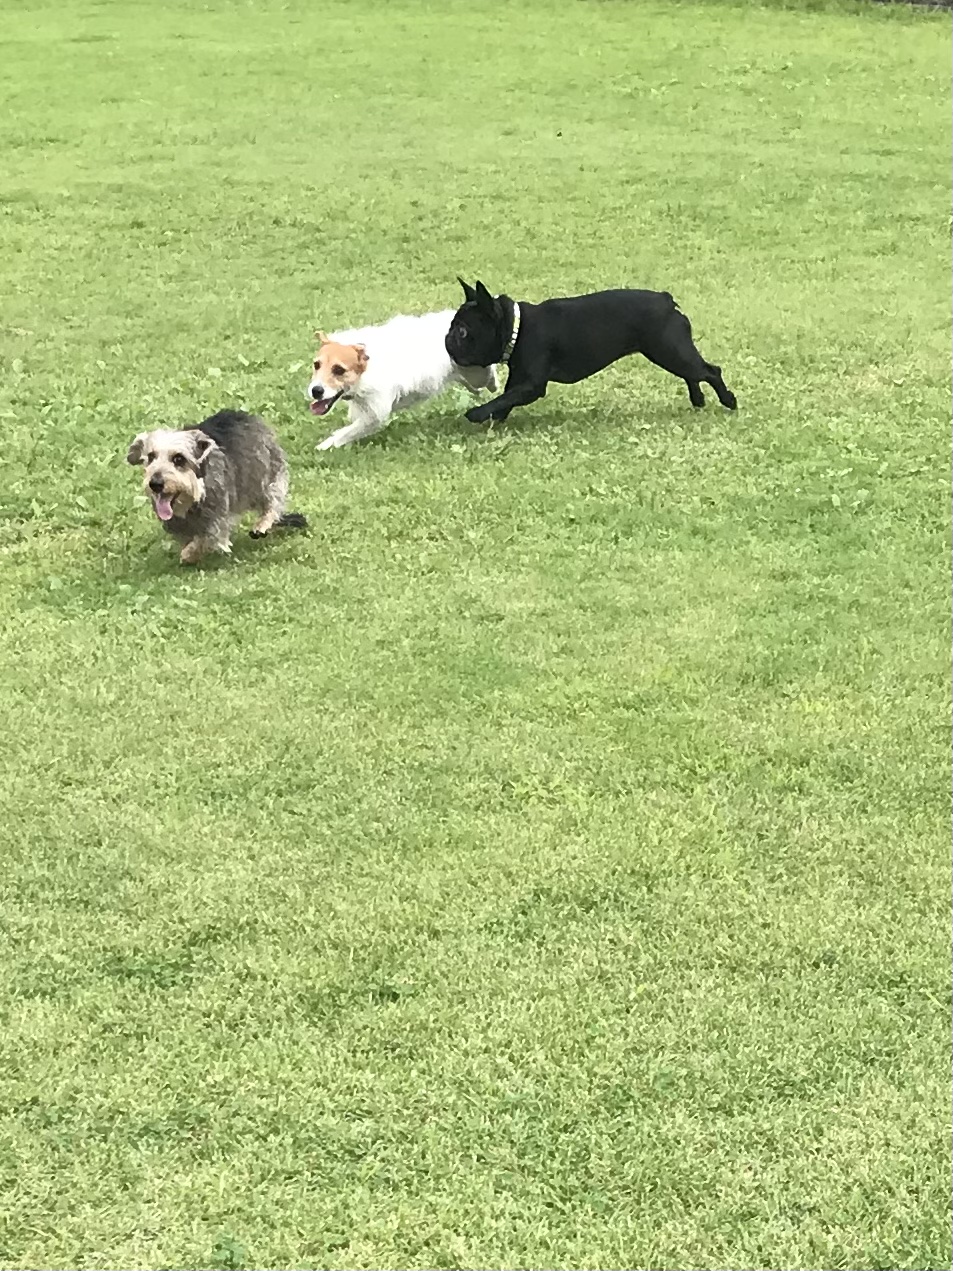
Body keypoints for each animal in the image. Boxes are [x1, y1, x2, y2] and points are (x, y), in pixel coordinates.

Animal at [126, 409, 306, 564]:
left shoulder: (217, 521)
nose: (155, 484)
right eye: (151, 457)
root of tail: (243, 414)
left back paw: (262, 525)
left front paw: (189, 554)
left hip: (264, 477)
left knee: (273, 503)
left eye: (178, 459)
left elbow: (205, 539)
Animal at [307, 310, 499, 449]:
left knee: (489, 374)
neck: (367, 367)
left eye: (339, 370)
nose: (315, 391)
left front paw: (325, 445)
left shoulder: (375, 414)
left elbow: (347, 432)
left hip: (478, 373)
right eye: (316, 365)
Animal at [445, 279, 737, 425]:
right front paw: (495, 419)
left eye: (463, 331)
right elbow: (506, 399)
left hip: (668, 351)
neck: (517, 327)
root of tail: (667, 300)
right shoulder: (520, 381)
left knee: (710, 371)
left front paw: (477, 414)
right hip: (670, 353)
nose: (447, 338)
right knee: (693, 373)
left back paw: (728, 401)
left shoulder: (532, 385)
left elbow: (506, 398)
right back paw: (698, 399)